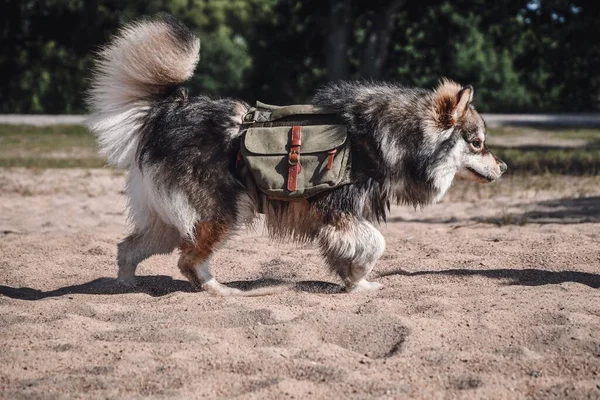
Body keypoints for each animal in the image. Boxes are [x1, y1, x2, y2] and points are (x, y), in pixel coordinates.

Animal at [84, 15, 506, 296]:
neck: (389, 137)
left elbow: (357, 251)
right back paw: (219, 290)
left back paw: (126, 287)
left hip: (169, 221)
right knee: (188, 260)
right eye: (477, 143)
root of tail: (168, 112)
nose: (503, 166)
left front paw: (356, 282)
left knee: (128, 248)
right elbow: (375, 243)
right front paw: (360, 281)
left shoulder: (342, 217)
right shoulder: (338, 212)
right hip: (224, 211)